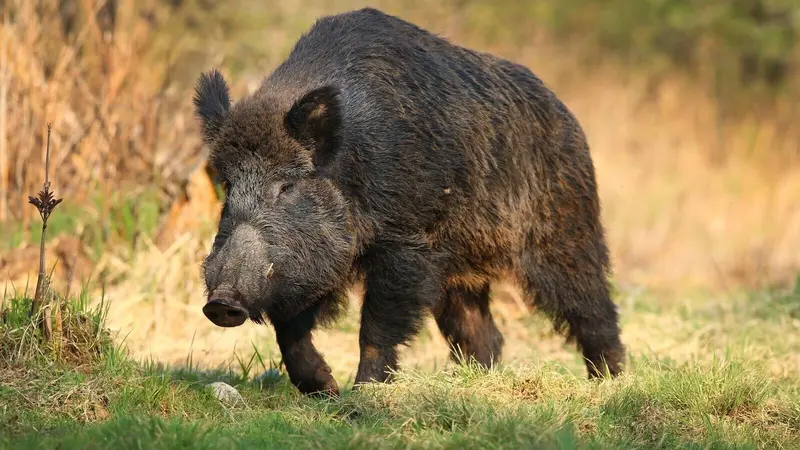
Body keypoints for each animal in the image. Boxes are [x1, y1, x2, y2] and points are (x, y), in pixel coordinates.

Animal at [194, 7, 625, 396]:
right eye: (228, 185)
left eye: (286, 186)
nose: (221, 303)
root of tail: (567, 115)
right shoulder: (317, 263)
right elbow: (289, 330)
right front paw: (325, 390)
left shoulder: (406, 244)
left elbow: (376, 328)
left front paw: (362, 395)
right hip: (460, 272)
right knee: (481, 331)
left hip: (566, 232)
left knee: (593, 308)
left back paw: (611, 383)